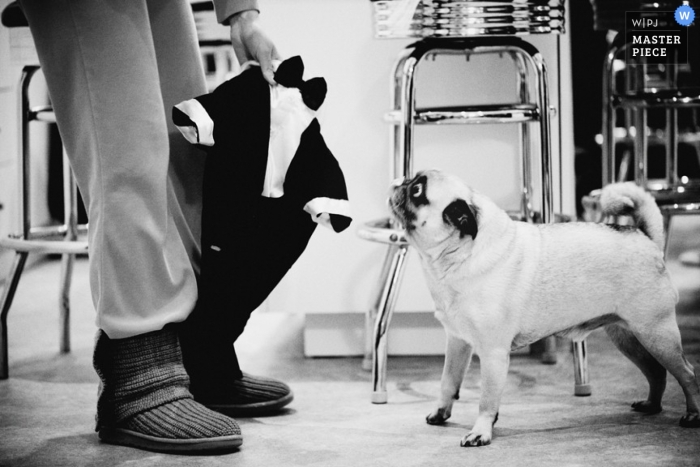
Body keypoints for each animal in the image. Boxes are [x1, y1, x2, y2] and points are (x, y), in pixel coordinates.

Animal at [388, 170, 700, 448]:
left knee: (686, 372)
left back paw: (693, 414)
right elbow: (448, 382)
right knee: (656, 372)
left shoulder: (492, 353)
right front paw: (441, 412)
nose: (398, 181)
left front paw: (481, 432)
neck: (458, 255)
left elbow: (486, 399)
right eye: (410, 181)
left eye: (417, 191)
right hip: (628, 338)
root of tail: (646, 239)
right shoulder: (457, 343)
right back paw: (652, 405)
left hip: (656, 333)